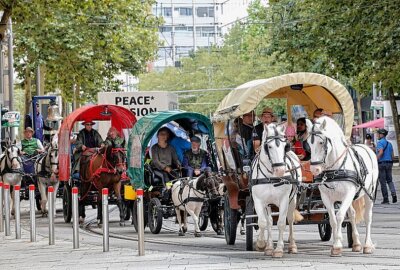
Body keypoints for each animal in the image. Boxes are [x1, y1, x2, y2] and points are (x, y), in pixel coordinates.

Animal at [252, 123, 302, 258]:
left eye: (285, 146)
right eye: (269, 146)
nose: (280, 170)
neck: (271, 177)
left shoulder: (284, 200)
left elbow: (281, 223)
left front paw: (279, 249)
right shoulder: (258, 200)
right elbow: (263, 222)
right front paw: (261, 244)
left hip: (292, 200)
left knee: (290, 220)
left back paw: (292, 246)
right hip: (268, 204)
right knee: (269, 222)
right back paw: (269, 247)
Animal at [306, 116, 378, 255]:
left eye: (321, 142)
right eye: (308, 144)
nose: (314, 169)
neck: (336, 168)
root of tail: (366, 147)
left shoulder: (348, 194)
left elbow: (339, 216)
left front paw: (338, 244)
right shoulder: (326, 197)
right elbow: (333, 220)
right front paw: (336, 244)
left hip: (369, 193)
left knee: (368, 217)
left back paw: (367, 245)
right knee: (352, 215)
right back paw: (356, 244)